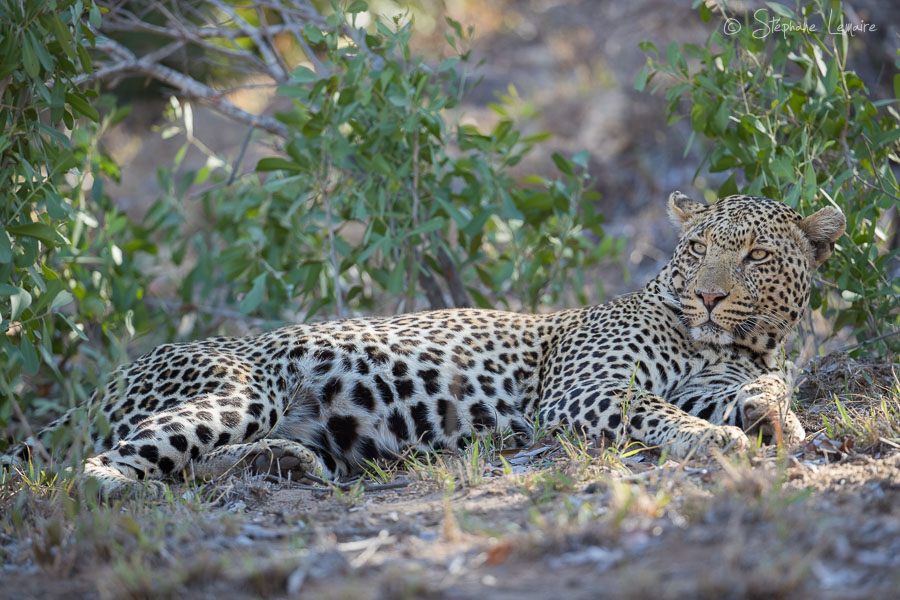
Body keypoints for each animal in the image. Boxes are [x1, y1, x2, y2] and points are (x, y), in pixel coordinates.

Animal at [3, 192, 846, 499]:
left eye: (755, 257)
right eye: (698, 247)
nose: (708, 294)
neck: (733, 342)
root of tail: (101, 384)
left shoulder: (722, 372)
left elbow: (763, 394)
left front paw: (779, 420)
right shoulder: (587, 390)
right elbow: (664, 415)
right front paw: (716, 444)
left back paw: (286, 464)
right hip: (239, 387)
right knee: (97, 468)